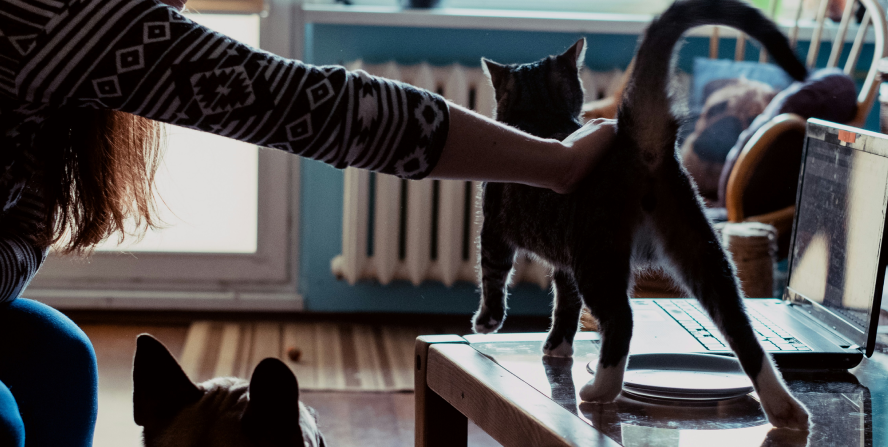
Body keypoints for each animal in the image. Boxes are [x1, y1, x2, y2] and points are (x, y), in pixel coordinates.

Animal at [472, 0, 812, 432]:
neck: (539, 117)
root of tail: (642, 142)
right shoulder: (563, 259)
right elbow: (565, 304)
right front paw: (558, 348)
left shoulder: (496, 230)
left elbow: (494, 274)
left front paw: (488, 321)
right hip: (701, 250)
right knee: (741, 329)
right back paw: (786, 410)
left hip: (598, 255)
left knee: (622, 320)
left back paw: (599, 390)